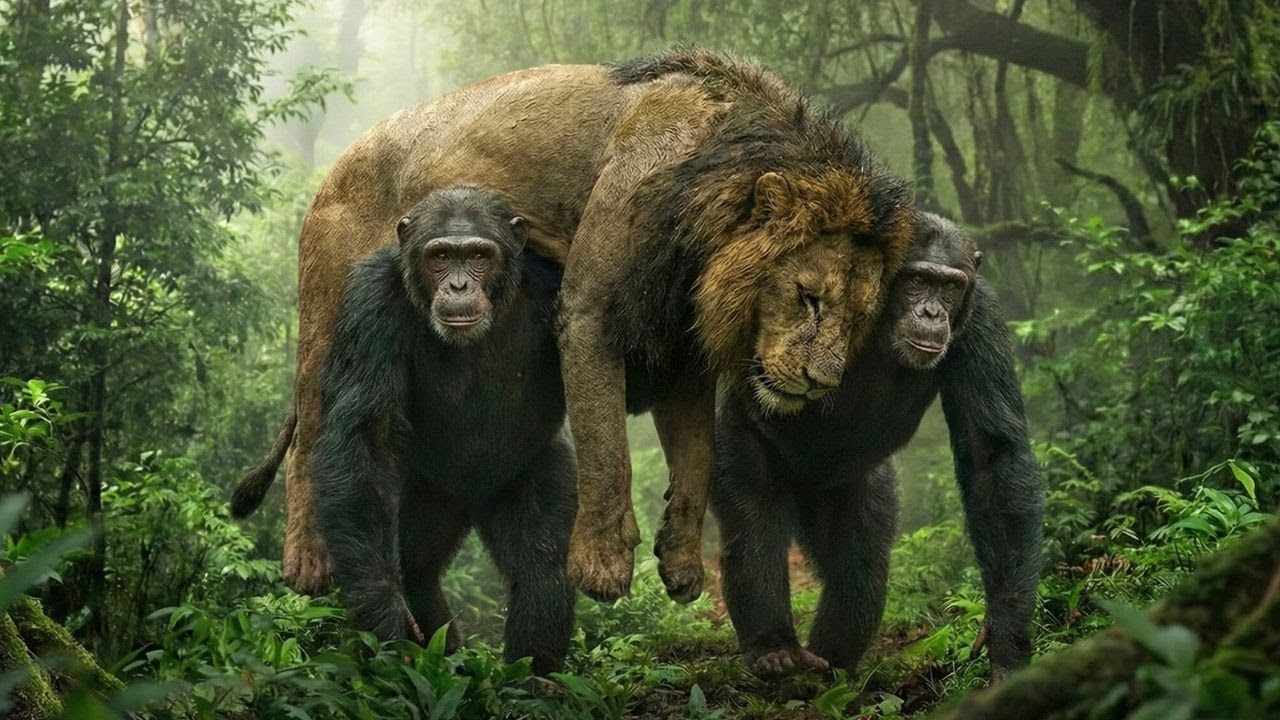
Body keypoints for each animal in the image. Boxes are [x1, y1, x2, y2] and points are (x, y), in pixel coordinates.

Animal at [231, 47, 915, 604]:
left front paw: (681, 562)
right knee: (310, 435)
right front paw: (603, 564)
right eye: (808, 298)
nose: (823, 381)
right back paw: (308, 561)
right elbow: (607, 452)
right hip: (327, 311)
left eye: (860, 319)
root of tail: (337, 167)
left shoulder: (677, 343)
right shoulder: (589, 312)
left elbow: (696, 459)